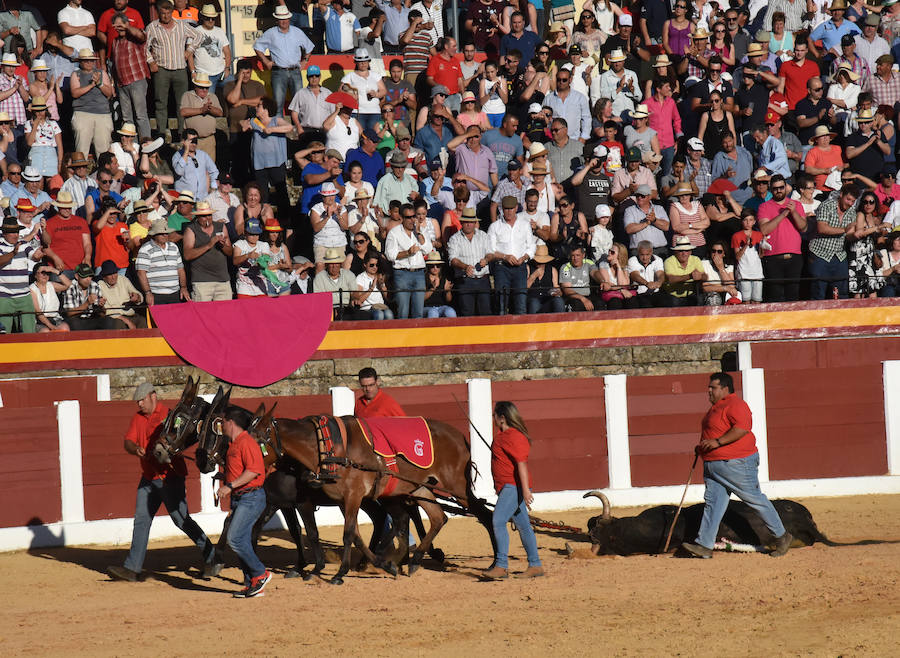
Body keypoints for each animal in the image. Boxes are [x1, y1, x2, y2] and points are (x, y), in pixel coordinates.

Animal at [248, 404, 492, 584]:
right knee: (436, 518)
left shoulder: (350, 496)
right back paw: (414, 560)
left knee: (485, 515)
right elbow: (354, 534)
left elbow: (345, 534)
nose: (246, 466)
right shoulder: (341, 500)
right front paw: (383, 564)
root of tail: (459, 435)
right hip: (418, 487)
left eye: (257, 441)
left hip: (458, 488)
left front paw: (339, 573)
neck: (329, 448)